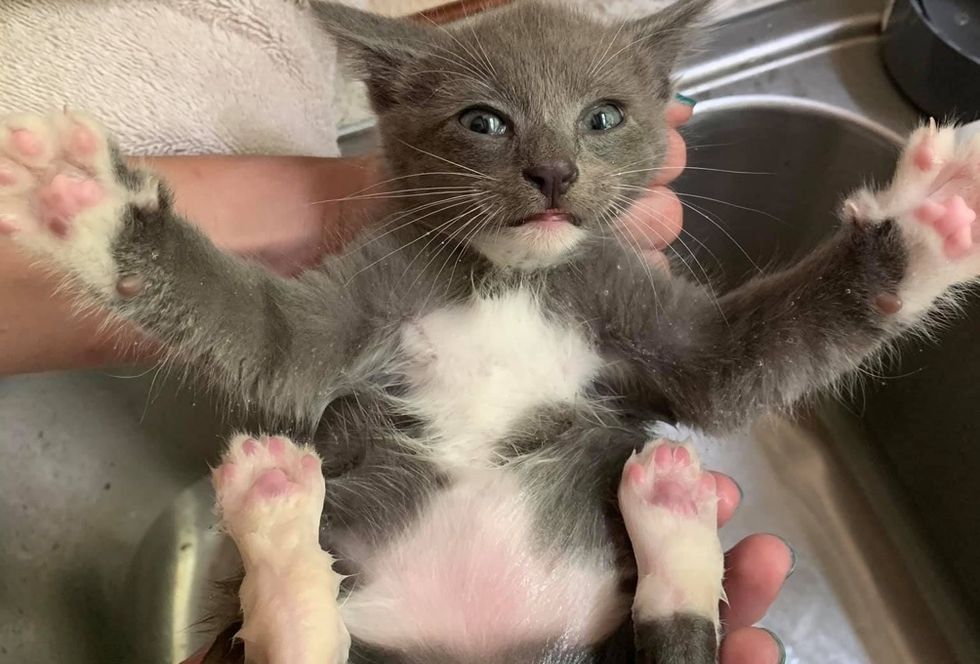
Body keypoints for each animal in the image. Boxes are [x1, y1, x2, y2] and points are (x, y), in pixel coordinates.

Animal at [1, 1, 980, 664]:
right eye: (484, 120)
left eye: (603, 115)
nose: (553, 172)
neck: (506, 277)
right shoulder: (364, 297)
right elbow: (273, 340)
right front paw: (87, 204)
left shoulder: (630, 305)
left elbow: (737, 365)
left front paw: (930, 223)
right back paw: (276, 516)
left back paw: (673, 515)